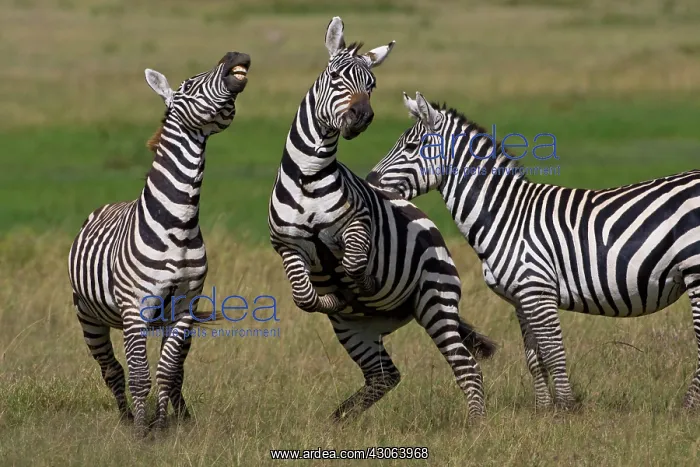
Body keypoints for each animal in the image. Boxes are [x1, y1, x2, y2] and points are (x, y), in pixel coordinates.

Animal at [68, 52, 251, 434]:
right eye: (188, 84)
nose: (237, 56)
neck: (178, 224)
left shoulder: (183, 309)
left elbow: (168, 373)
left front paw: (163, 426)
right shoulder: (135, 308)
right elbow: (139, 376)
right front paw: (141, 432)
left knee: (175, 372)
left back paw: (181, 416)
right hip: (88, 315)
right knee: (112, 370)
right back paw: (126, 418)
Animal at [268, 17, 496, 421]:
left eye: (372, 85)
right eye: (336, 77)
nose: (362, 116)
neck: (308, 177)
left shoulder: (358, 224)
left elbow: (354, 264)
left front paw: (364, 283)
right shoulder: (287, 244)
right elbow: (304, 296)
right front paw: (331, 298)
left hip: (435, 302)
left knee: (466, 366)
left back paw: (477, 424)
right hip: (353, 330)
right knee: (383, 375)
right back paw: (337, 421)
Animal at [367, 90, 700, 410]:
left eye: (412, 146)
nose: (369, 182)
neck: (504, 216)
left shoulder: (538, 289)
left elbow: (554, 352)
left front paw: (565, 408)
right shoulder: (520, 298)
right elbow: (534, 358)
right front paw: (543, 410)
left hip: (695, 271)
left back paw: (687, 408)